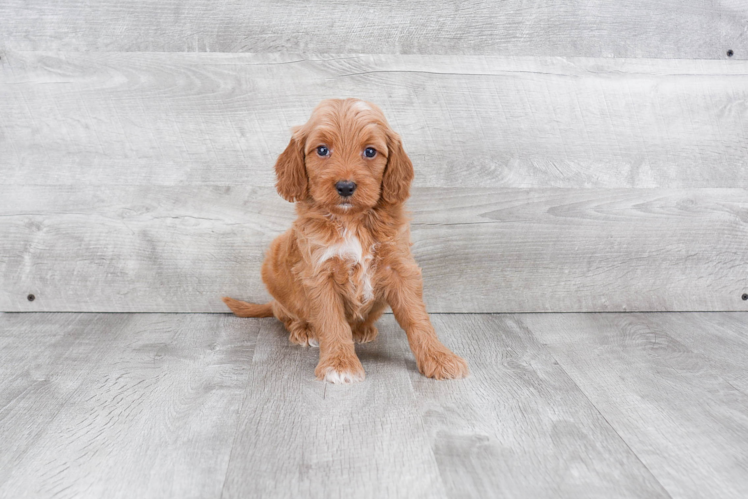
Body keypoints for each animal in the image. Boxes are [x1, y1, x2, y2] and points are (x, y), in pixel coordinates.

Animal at [222, 99, 468, 384]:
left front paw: (439, 357)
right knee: (285, 314)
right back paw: (305, 329)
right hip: (274, 264)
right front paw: (339, 364)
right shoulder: (320, 272)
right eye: (322, 150)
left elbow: (417, 317)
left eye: (370, 152)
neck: (352, 221)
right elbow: (332, 321)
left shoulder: (400, 266)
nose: (345, 187)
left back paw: (362, 329)